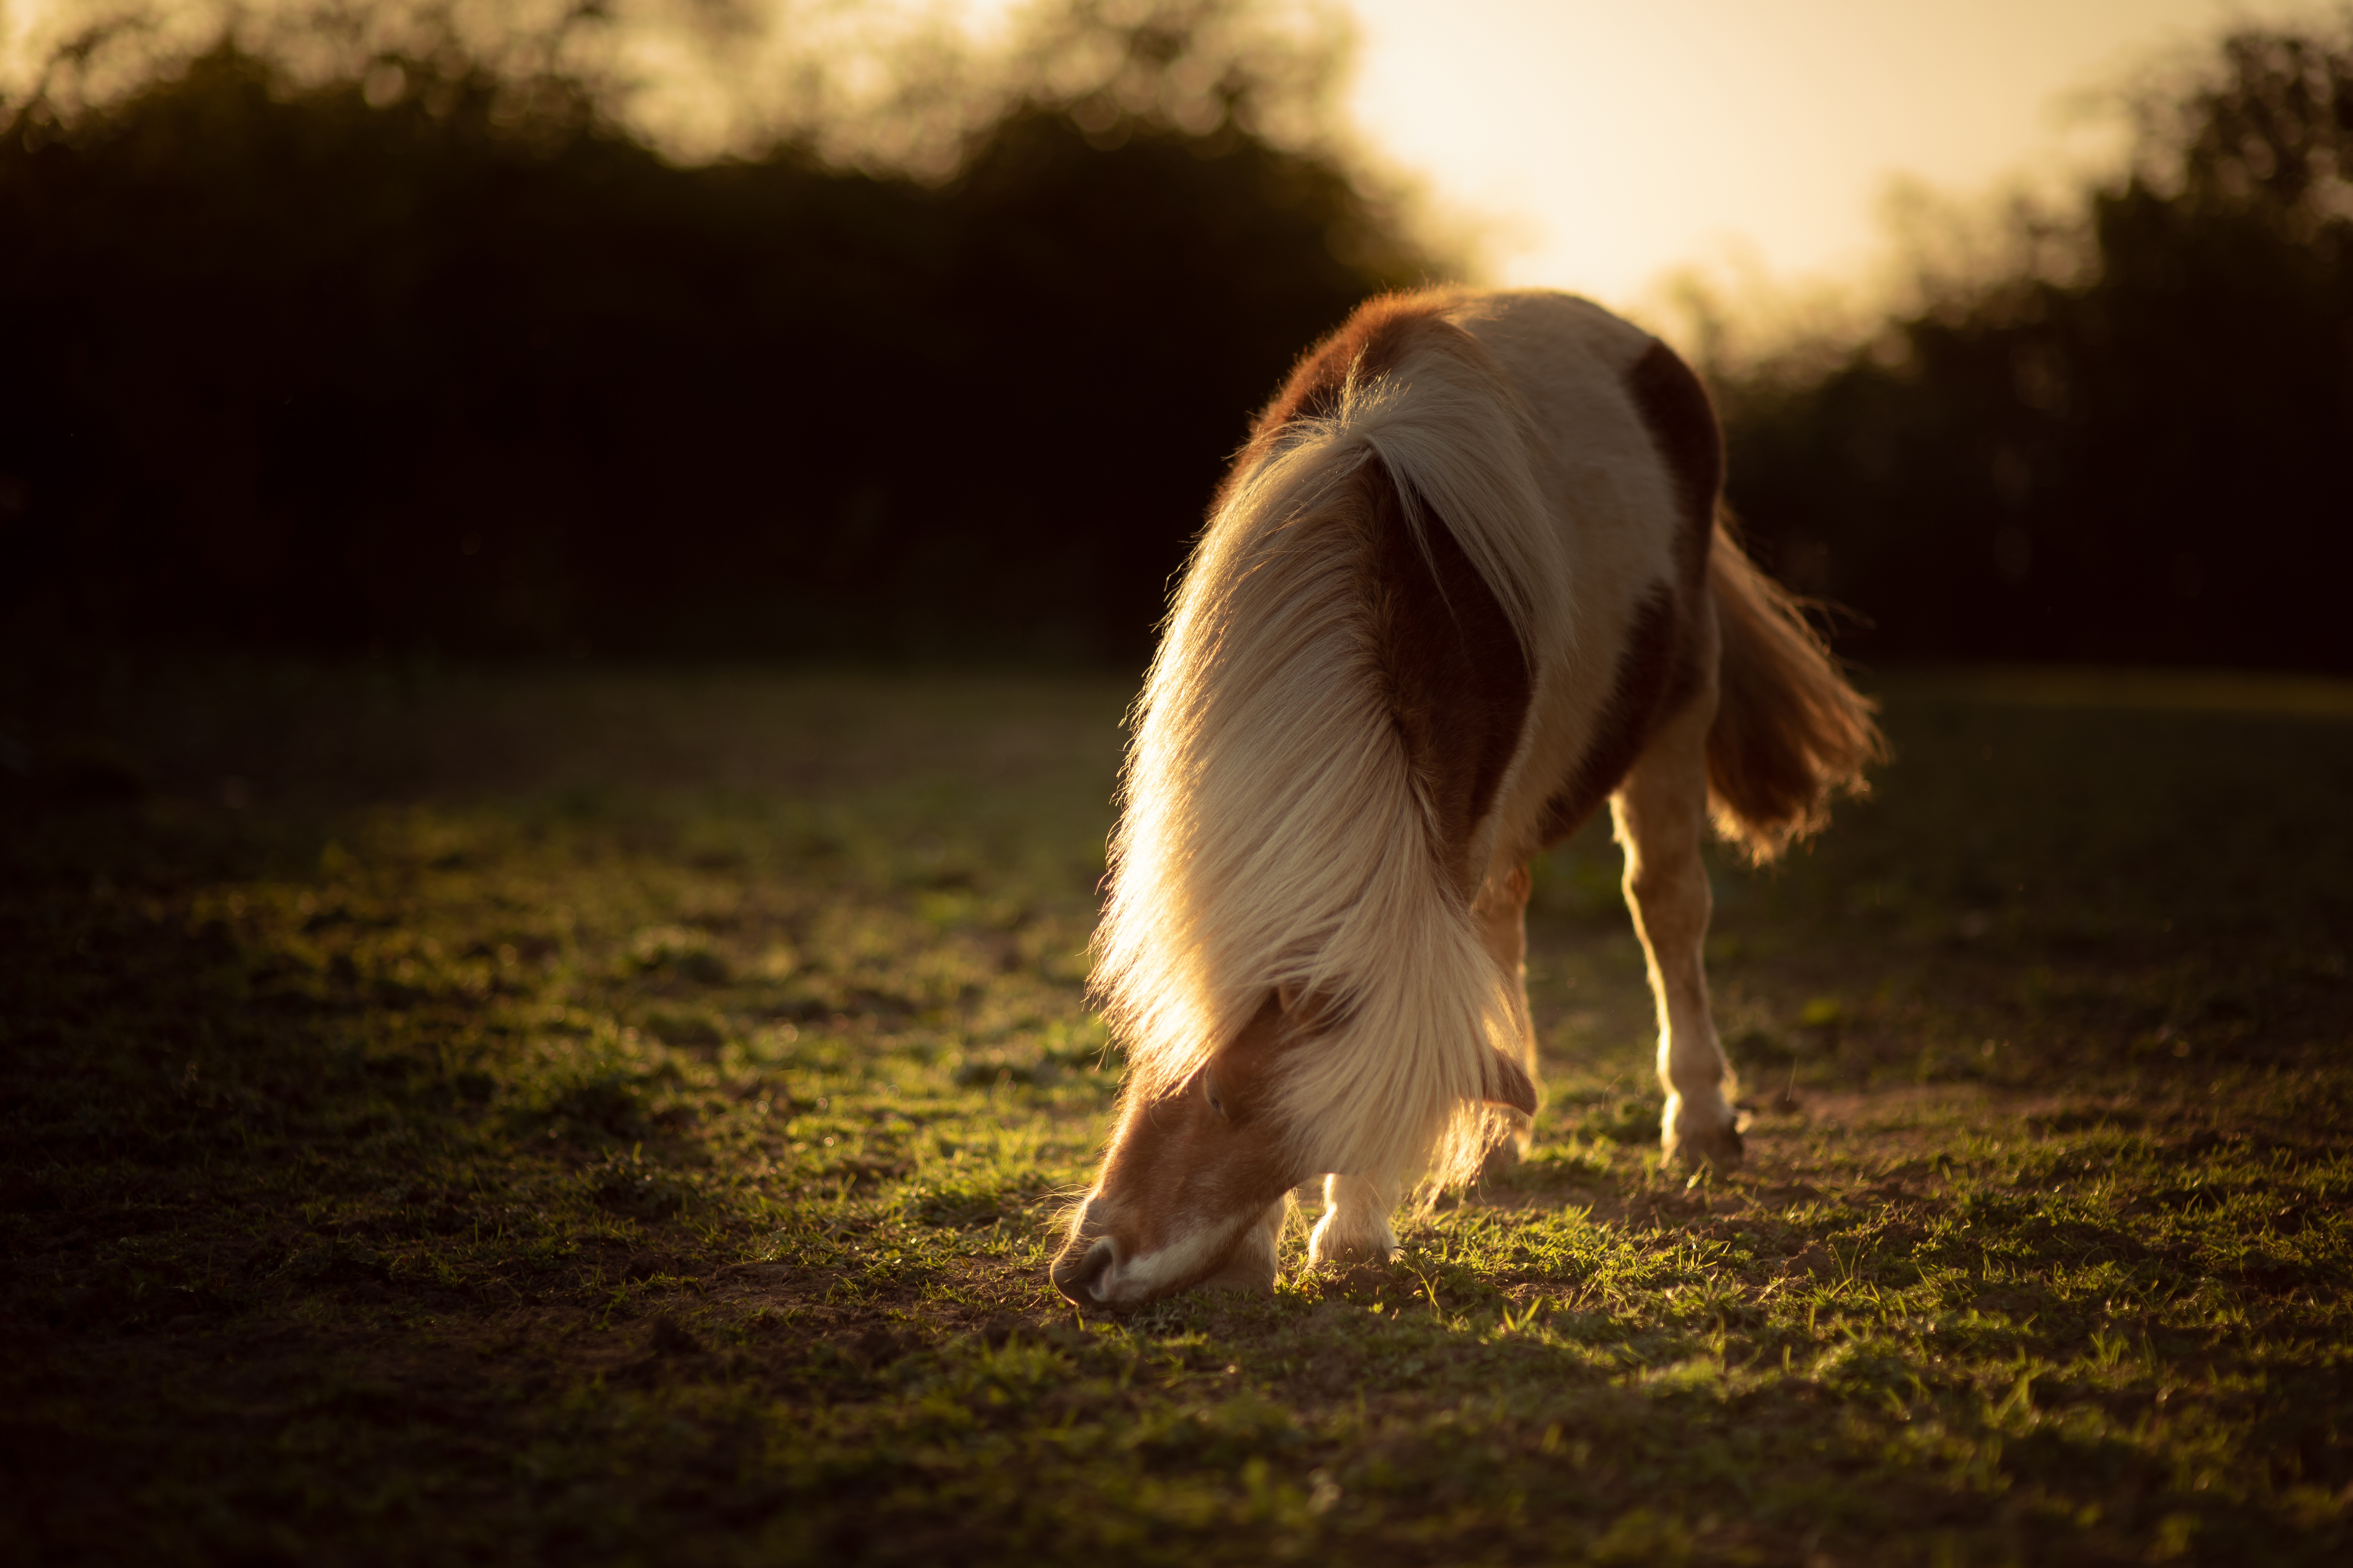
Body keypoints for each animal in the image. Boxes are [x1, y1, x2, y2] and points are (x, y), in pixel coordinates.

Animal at [1059, 291, 1882, 1316]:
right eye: (1215, 1096)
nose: (1089, 1271)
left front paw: (1348, 1234)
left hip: (1679, 698)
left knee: (1666, 905)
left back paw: (1698, 1120)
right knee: (1509, 919)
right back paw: (1499, 1144)